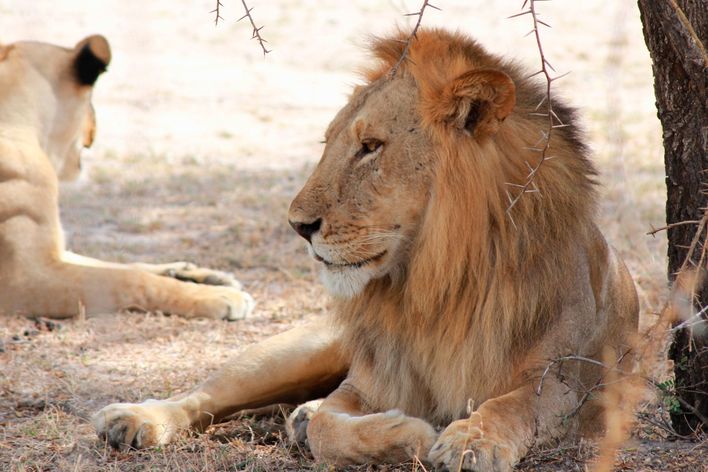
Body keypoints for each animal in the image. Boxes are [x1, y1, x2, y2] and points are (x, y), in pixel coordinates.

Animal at [0, 35, 254, 318]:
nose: (94, 132)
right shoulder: (23, 278)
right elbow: (129, 280)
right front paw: (218, 295)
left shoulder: (53, 253)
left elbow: (121, 266)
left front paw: (202, 276)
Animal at [91, 30, 640, 472]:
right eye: (329, 142)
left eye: (371, 146)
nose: (298, 226)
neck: (438, 285)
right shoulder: (367, 383)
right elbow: (329, 428)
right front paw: (411, 433)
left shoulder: (570, 379)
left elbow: (514, 403)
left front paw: (472, 440)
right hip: (297, 350)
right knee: (207, 393)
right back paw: (132, 418)